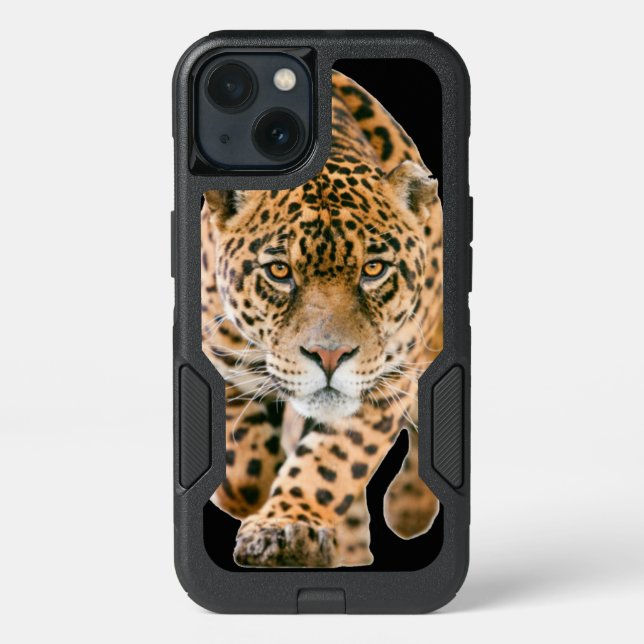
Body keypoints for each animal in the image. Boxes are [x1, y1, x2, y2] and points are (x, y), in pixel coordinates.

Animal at [200, 70, 443, 567]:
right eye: (279, 271)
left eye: (374, 269)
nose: (329, 356)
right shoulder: (220, 357)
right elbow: (243, 465)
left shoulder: (384, 383)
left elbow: (331, 463)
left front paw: (286, 524)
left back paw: (408, 508)